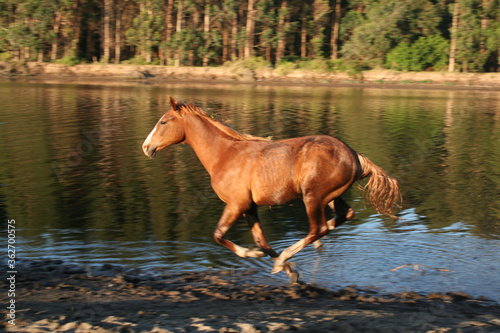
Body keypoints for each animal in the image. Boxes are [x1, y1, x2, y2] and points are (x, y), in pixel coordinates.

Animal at [143, 97, 400, 282]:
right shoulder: (249, 207)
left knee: (317, 229)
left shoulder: (236, 204)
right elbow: (262, 242)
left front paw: (268, 260)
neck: (223, 155)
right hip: (330, 196)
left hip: (312, 197)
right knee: (342, 216)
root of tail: (355, 156)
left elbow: (219, 235)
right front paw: (290, 271)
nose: (146, 147)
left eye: (163, 122)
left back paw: (288, 254)